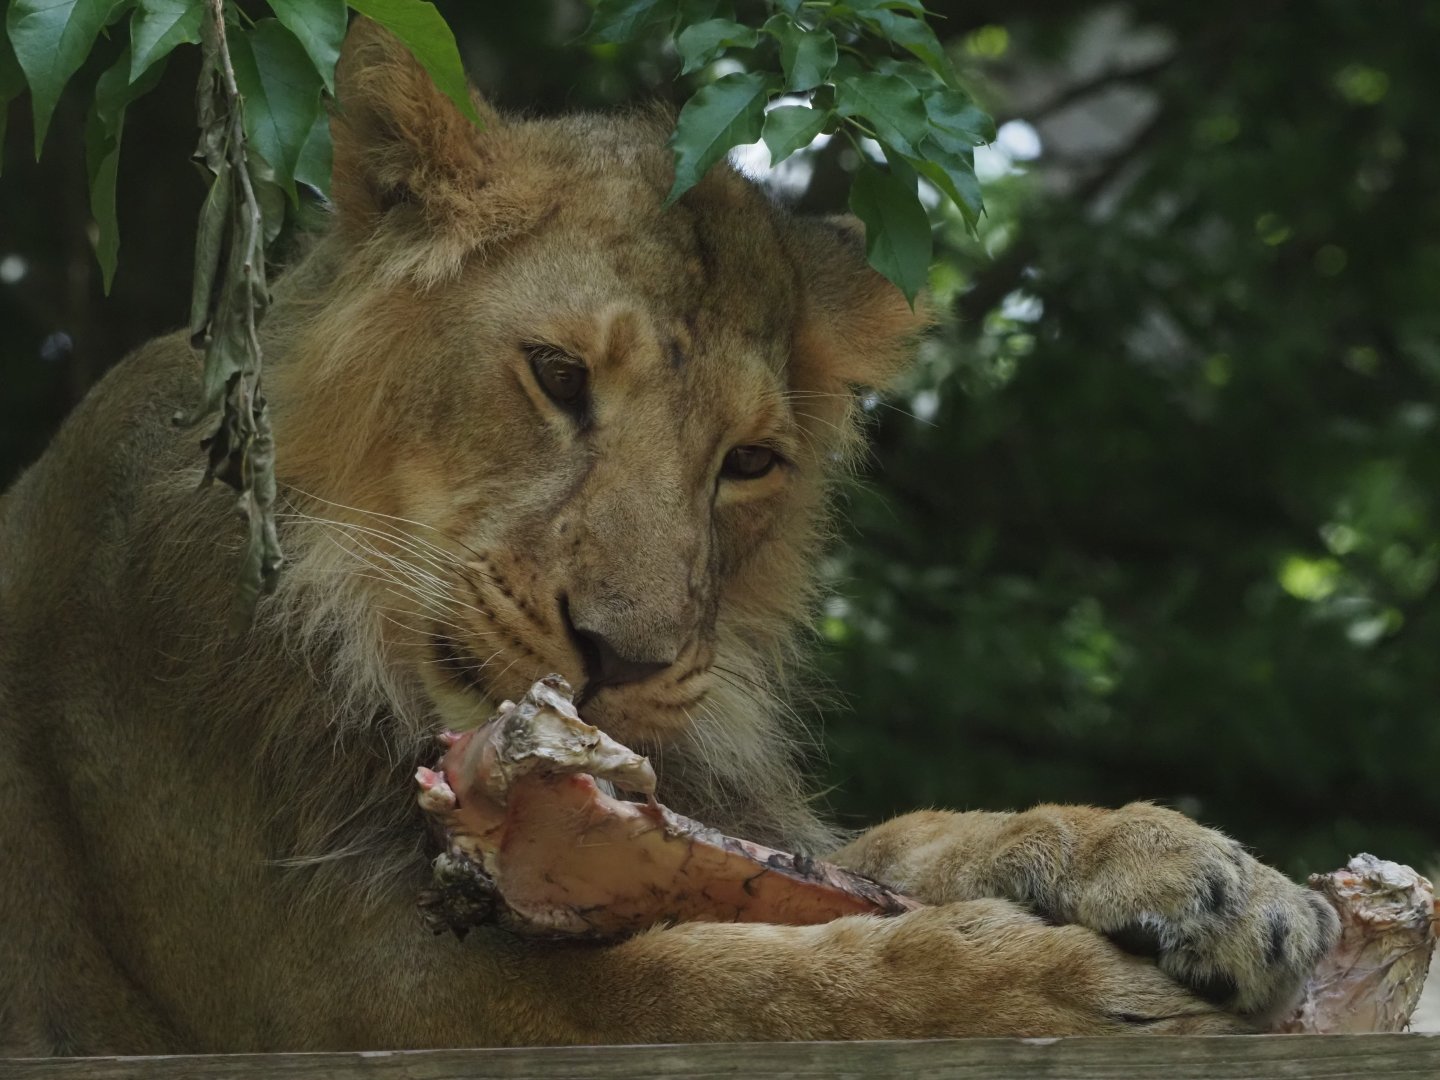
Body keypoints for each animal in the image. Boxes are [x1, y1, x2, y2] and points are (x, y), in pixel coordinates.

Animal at [0, 20, 1337, 1054]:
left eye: (747, 463)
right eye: (555, 375)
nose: (623, 661)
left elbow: (892, 847)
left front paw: (1202, 876)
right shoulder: (342, 985)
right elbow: (725, 986)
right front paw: (1059, 987)